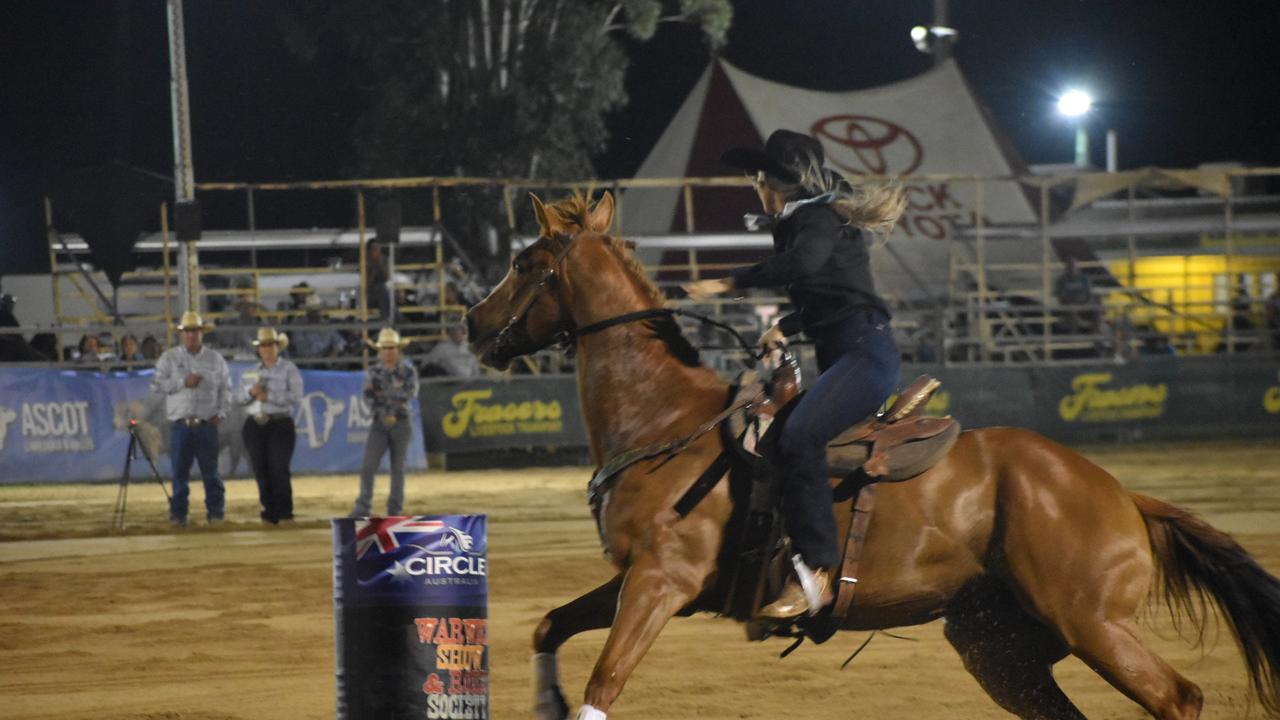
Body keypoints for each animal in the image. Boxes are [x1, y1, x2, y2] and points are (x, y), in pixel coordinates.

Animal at [468, 192, 1280, 717]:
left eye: (524, 260)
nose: (473, 324)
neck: (667, 418)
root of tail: (1122, 495)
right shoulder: (639, 577)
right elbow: (549, 625)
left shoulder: (662, 580)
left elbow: (605, 682)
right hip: (1001, 648)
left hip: (1093, 626)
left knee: (1180, 697)